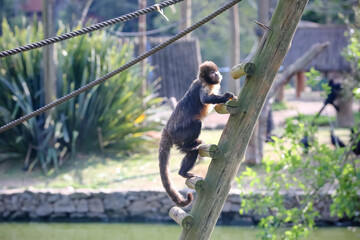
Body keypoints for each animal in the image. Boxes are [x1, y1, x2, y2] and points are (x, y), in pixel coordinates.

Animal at [159, 61, 235, 207]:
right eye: (213, 73)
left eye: (216, 71)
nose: (217, 74)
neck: (205, 81)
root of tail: (167, 128)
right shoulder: (203, 85)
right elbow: (205, 99)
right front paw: (225, 96)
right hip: (179, 133)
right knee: (197, 124)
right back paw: (191, 145)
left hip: (177, 139)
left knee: (192, 152)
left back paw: (183, 172)